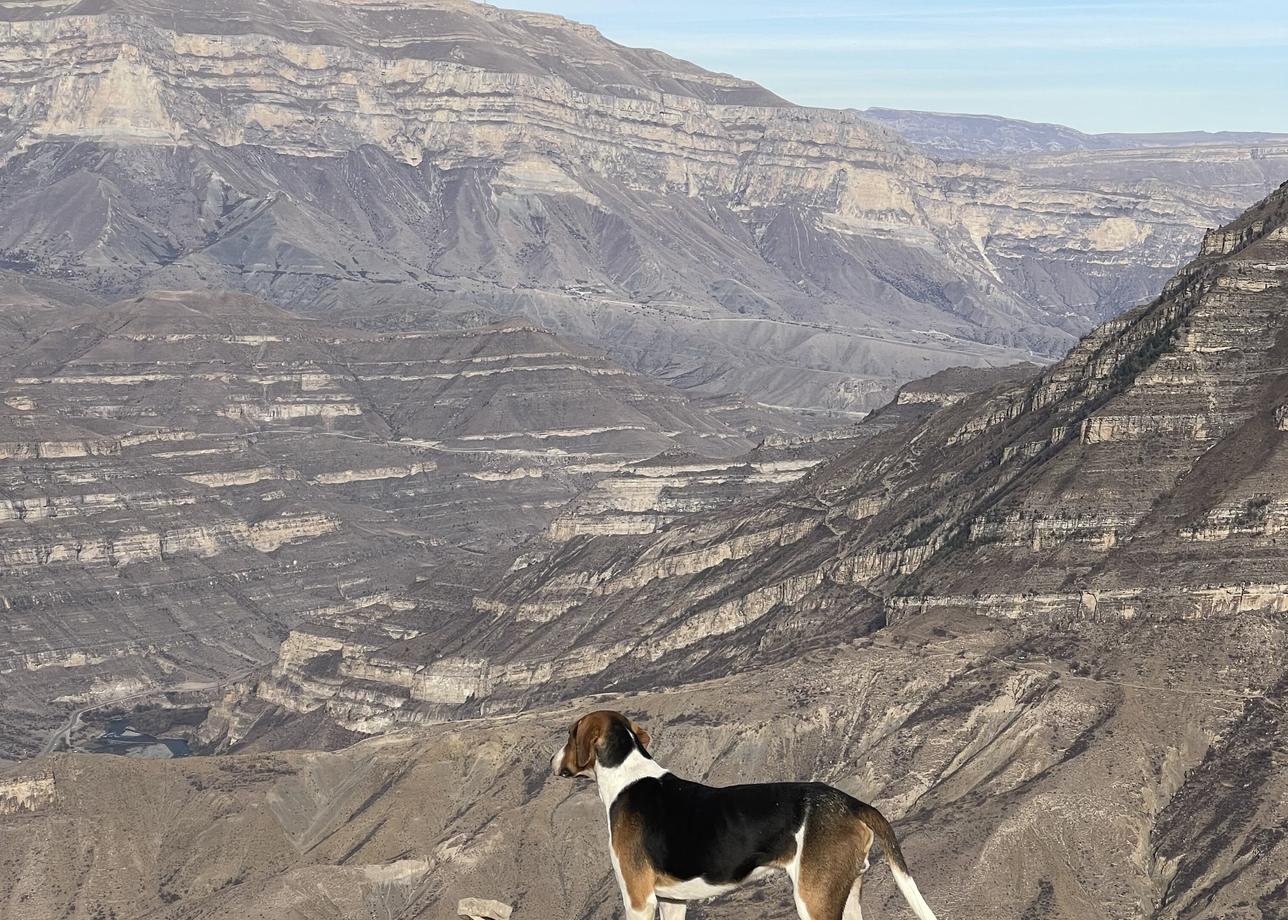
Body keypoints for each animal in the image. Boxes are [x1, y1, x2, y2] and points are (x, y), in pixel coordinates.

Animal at [551, 711, 937, 917]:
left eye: (570, 734)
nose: (552, 762)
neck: (627, 774)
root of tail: (852, 803)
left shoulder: (638, 899)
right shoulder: (673, 901)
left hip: (813, 898)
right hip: (847, 892)